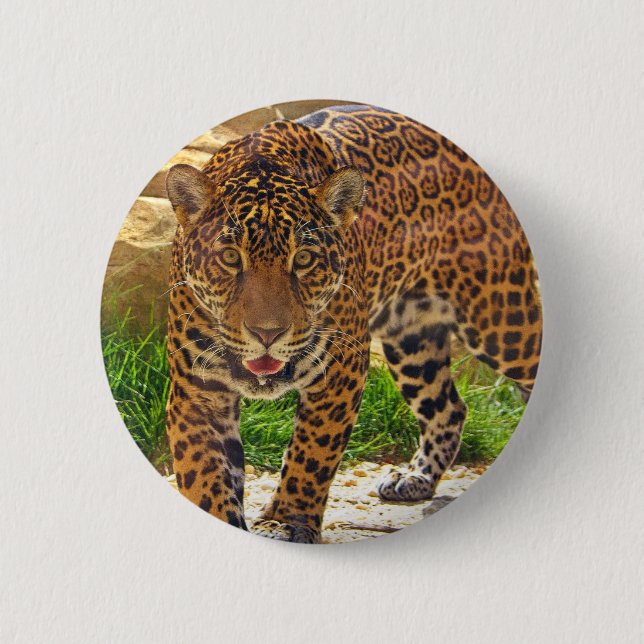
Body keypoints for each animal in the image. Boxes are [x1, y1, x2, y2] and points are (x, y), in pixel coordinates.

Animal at [164, 104, 542, 543]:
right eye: (228, 257)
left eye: (304, 259)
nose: (267, 334)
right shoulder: (197, 389)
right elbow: (205, 474)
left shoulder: (341, 370)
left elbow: (312, 454)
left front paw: (287, 521)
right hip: (411, 341)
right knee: (449, 406)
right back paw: (415, 479)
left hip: (502, 323)